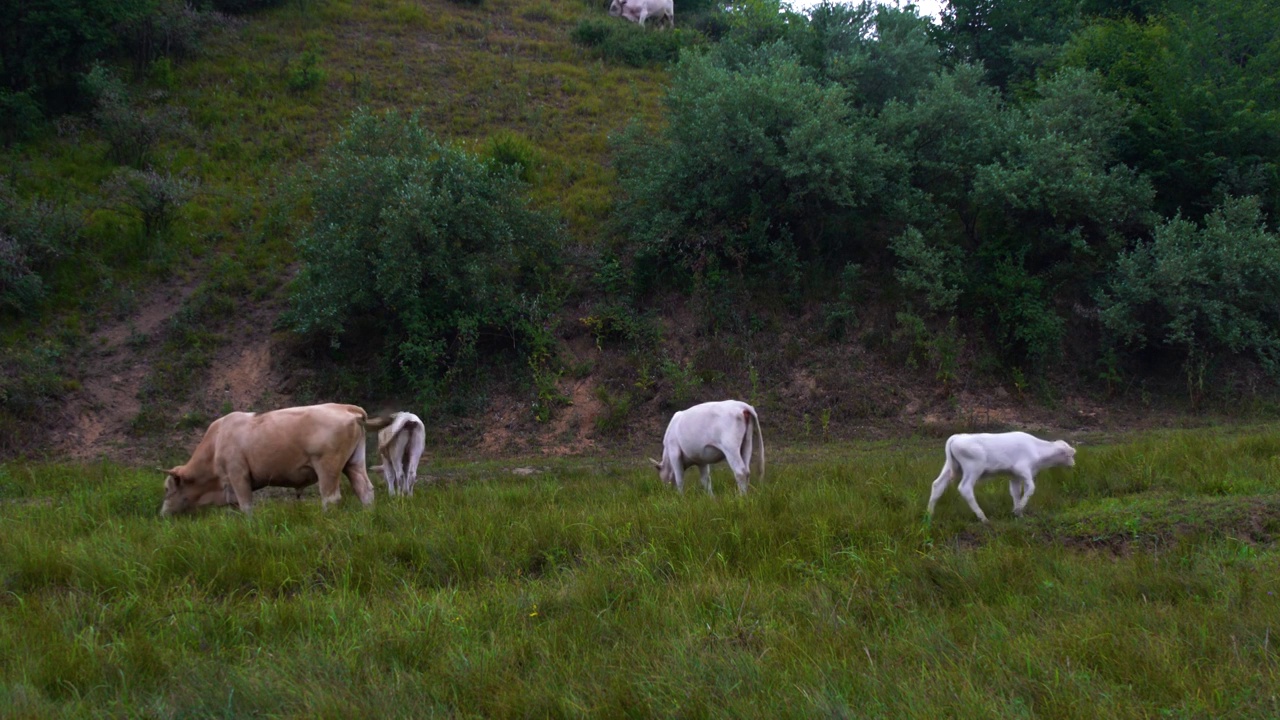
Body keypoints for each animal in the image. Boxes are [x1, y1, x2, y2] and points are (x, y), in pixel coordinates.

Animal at [159, 399, 391, 512]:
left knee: (330, 498)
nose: (163, 513)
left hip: (328, 467)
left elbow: (246, 507)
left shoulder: (238, 475)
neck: (216, 442)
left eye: (167, 489)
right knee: (365, 490)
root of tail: (347, 408)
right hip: (353, 463)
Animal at [926, 425, 1075, 520]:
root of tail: (956, 437)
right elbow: (1031, 488)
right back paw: (983, 518)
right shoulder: (1023, 470)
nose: (1073, 463)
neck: (1037, 448)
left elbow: (1015, 492)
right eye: (1069, 455)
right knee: (965, 488)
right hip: (973, 469)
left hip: (950, 468)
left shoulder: (1015, 476)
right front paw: (1019, 509)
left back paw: (929, 514)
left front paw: (1018, 514)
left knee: (937, 485)